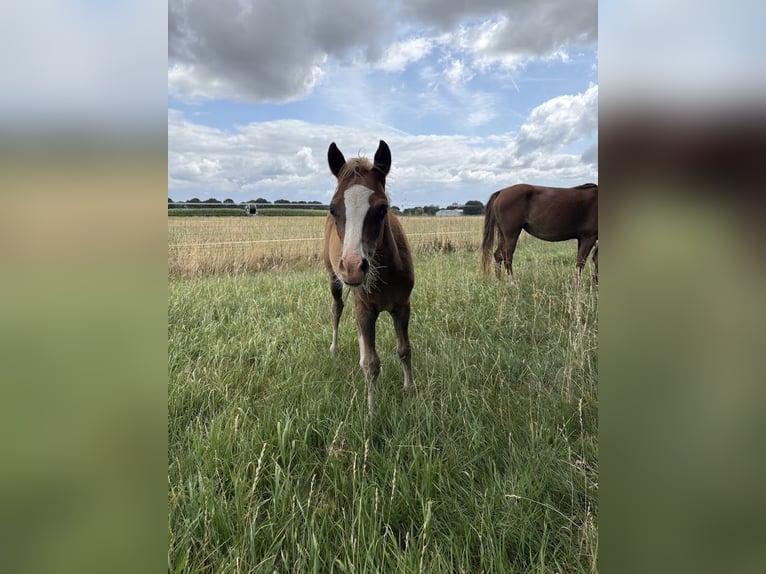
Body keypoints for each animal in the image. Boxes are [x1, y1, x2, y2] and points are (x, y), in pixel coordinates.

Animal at [323, 140, 415, 416]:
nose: (353, 267)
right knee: (337, 308)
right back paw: (334, 348)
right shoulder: (365, 309)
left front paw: (409, 388)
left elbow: (404, 349)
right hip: (334, 279)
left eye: (382, 208)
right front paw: (372, 414)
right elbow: (372, 364)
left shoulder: (402, 307)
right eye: (333, 208)